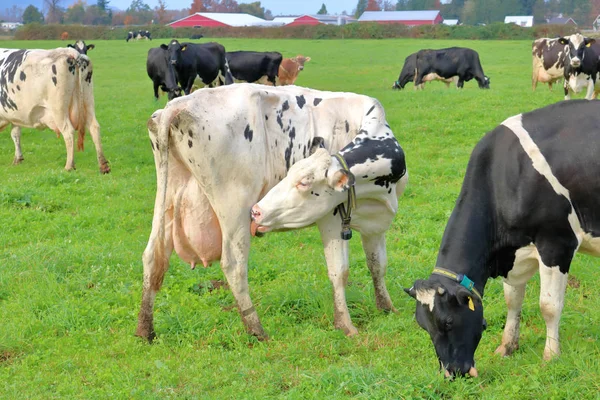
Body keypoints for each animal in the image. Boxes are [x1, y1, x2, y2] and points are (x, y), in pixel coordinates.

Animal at [137, 83, 408, 342]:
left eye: (303, 181)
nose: (257, 212)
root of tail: (178, 105)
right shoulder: (331, 217)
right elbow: (339, 270)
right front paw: (345, 325)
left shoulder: (376, 223)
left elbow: (377, 264)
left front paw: (387, 308)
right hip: (234, 207)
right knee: (234, 265)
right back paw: (256, 329)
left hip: (169, 197)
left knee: (153, 257)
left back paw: (145, 330)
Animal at [404, 100, 600, 378]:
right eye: (423, 326)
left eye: (448, 322)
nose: (452, 374)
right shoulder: (515, 253)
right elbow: (513, 300)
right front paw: (507, 346)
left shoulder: (556, 244)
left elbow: (549, 306)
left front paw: (551, 356)